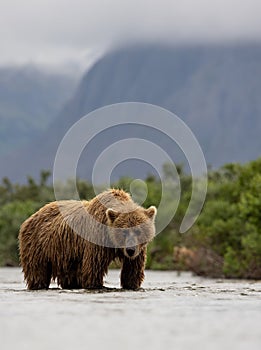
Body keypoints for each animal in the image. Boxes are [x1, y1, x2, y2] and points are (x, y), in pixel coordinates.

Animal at [19, 189, 156, 290]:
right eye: (124, 232)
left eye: (138, 231)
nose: (130, 250)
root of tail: (31, 217)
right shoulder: (97, 239)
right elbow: (93, 267)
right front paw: (96, 284)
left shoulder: (139, 250)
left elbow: (132, 270)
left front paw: (131, 285)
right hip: (38, 245)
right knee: (37, 272)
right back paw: (38, 285)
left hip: (65, 254)